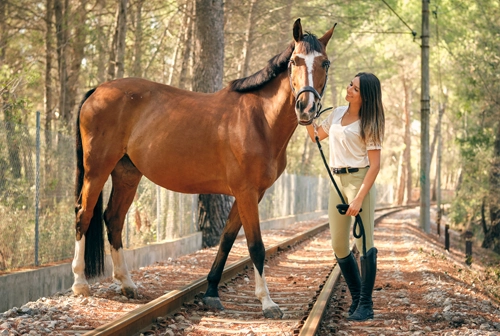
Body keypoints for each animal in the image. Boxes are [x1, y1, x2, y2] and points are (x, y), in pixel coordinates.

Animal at [72, 18, 334, 318]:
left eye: (325, 63)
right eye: (294, 61)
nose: (306, 107)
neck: (259, 119)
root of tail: (98, 90)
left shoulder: (251, 194)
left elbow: (227, 239)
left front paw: (211, 293)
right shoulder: (246, 192)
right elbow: (255, 246)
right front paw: (267, 302)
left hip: (127, 173)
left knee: (114, 218)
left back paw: (127, 284)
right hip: (97, 169)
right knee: (84, 214)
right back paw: (80, 283)